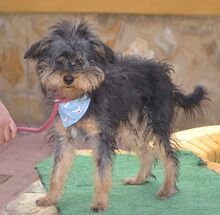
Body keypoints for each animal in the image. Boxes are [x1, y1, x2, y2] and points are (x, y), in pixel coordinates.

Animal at [24, 20, 208, 212]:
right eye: (58, 62)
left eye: (79, 61)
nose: (68, 78)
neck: (78, 98)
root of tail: (165, 76)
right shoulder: (64, 139)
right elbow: (57, 171)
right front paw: (50, 198)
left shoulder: (101, 137)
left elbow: (101, 172)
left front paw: (99, 202)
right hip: (130, 130)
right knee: (147, 152)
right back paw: (139, 179)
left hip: (156, 123)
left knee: (169, 156)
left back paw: (167, 189)